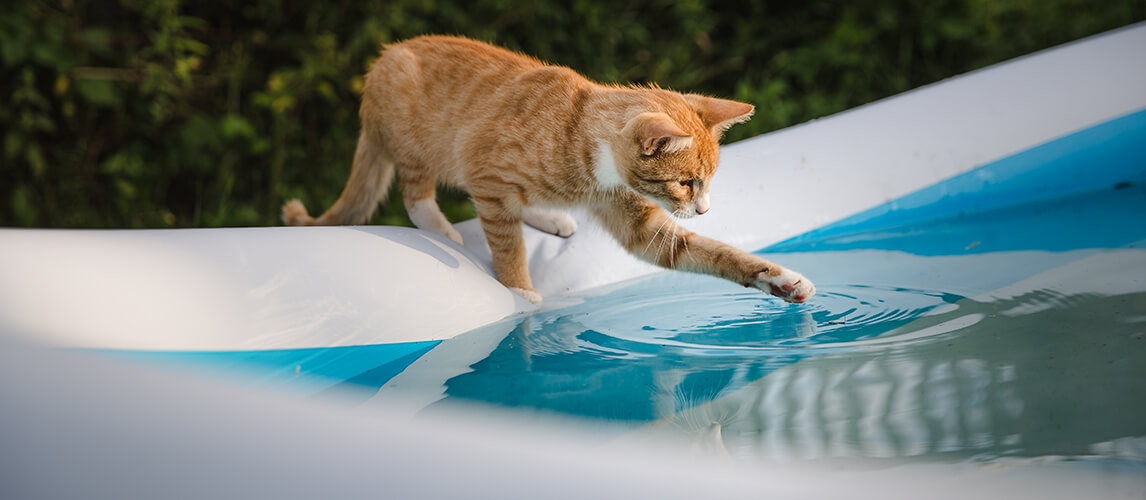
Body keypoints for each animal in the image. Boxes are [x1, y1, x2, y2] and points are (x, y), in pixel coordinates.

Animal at [279, 35, 815, 305]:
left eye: (707, 183)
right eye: (686, 183)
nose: (704, 209)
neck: (579, 135)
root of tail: (382, 61)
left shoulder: (638, 225)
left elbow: (712, 253)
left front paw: (781, 280)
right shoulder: (488, 177)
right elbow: (506, 243)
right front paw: (520, 291)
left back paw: (549, 216)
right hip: (415, 136)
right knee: (416, 192)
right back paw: (442, 229)